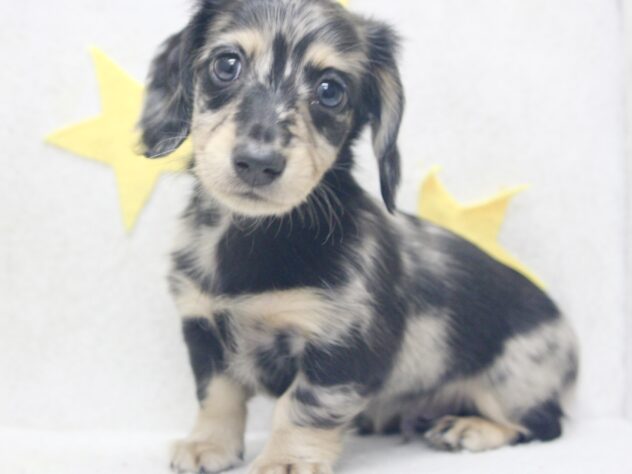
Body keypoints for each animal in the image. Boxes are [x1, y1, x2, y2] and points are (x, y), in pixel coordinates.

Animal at [139, 1, 579, 473]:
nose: (258, 162)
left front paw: (286, 461)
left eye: (331, 90)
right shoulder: (203, 327)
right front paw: (208, 445)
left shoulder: (342, 344)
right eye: (226, 64)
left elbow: (301, 407)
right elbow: (216, 396)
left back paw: (469, 429)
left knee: (542, 424)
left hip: (511, 383)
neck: (255, 238)